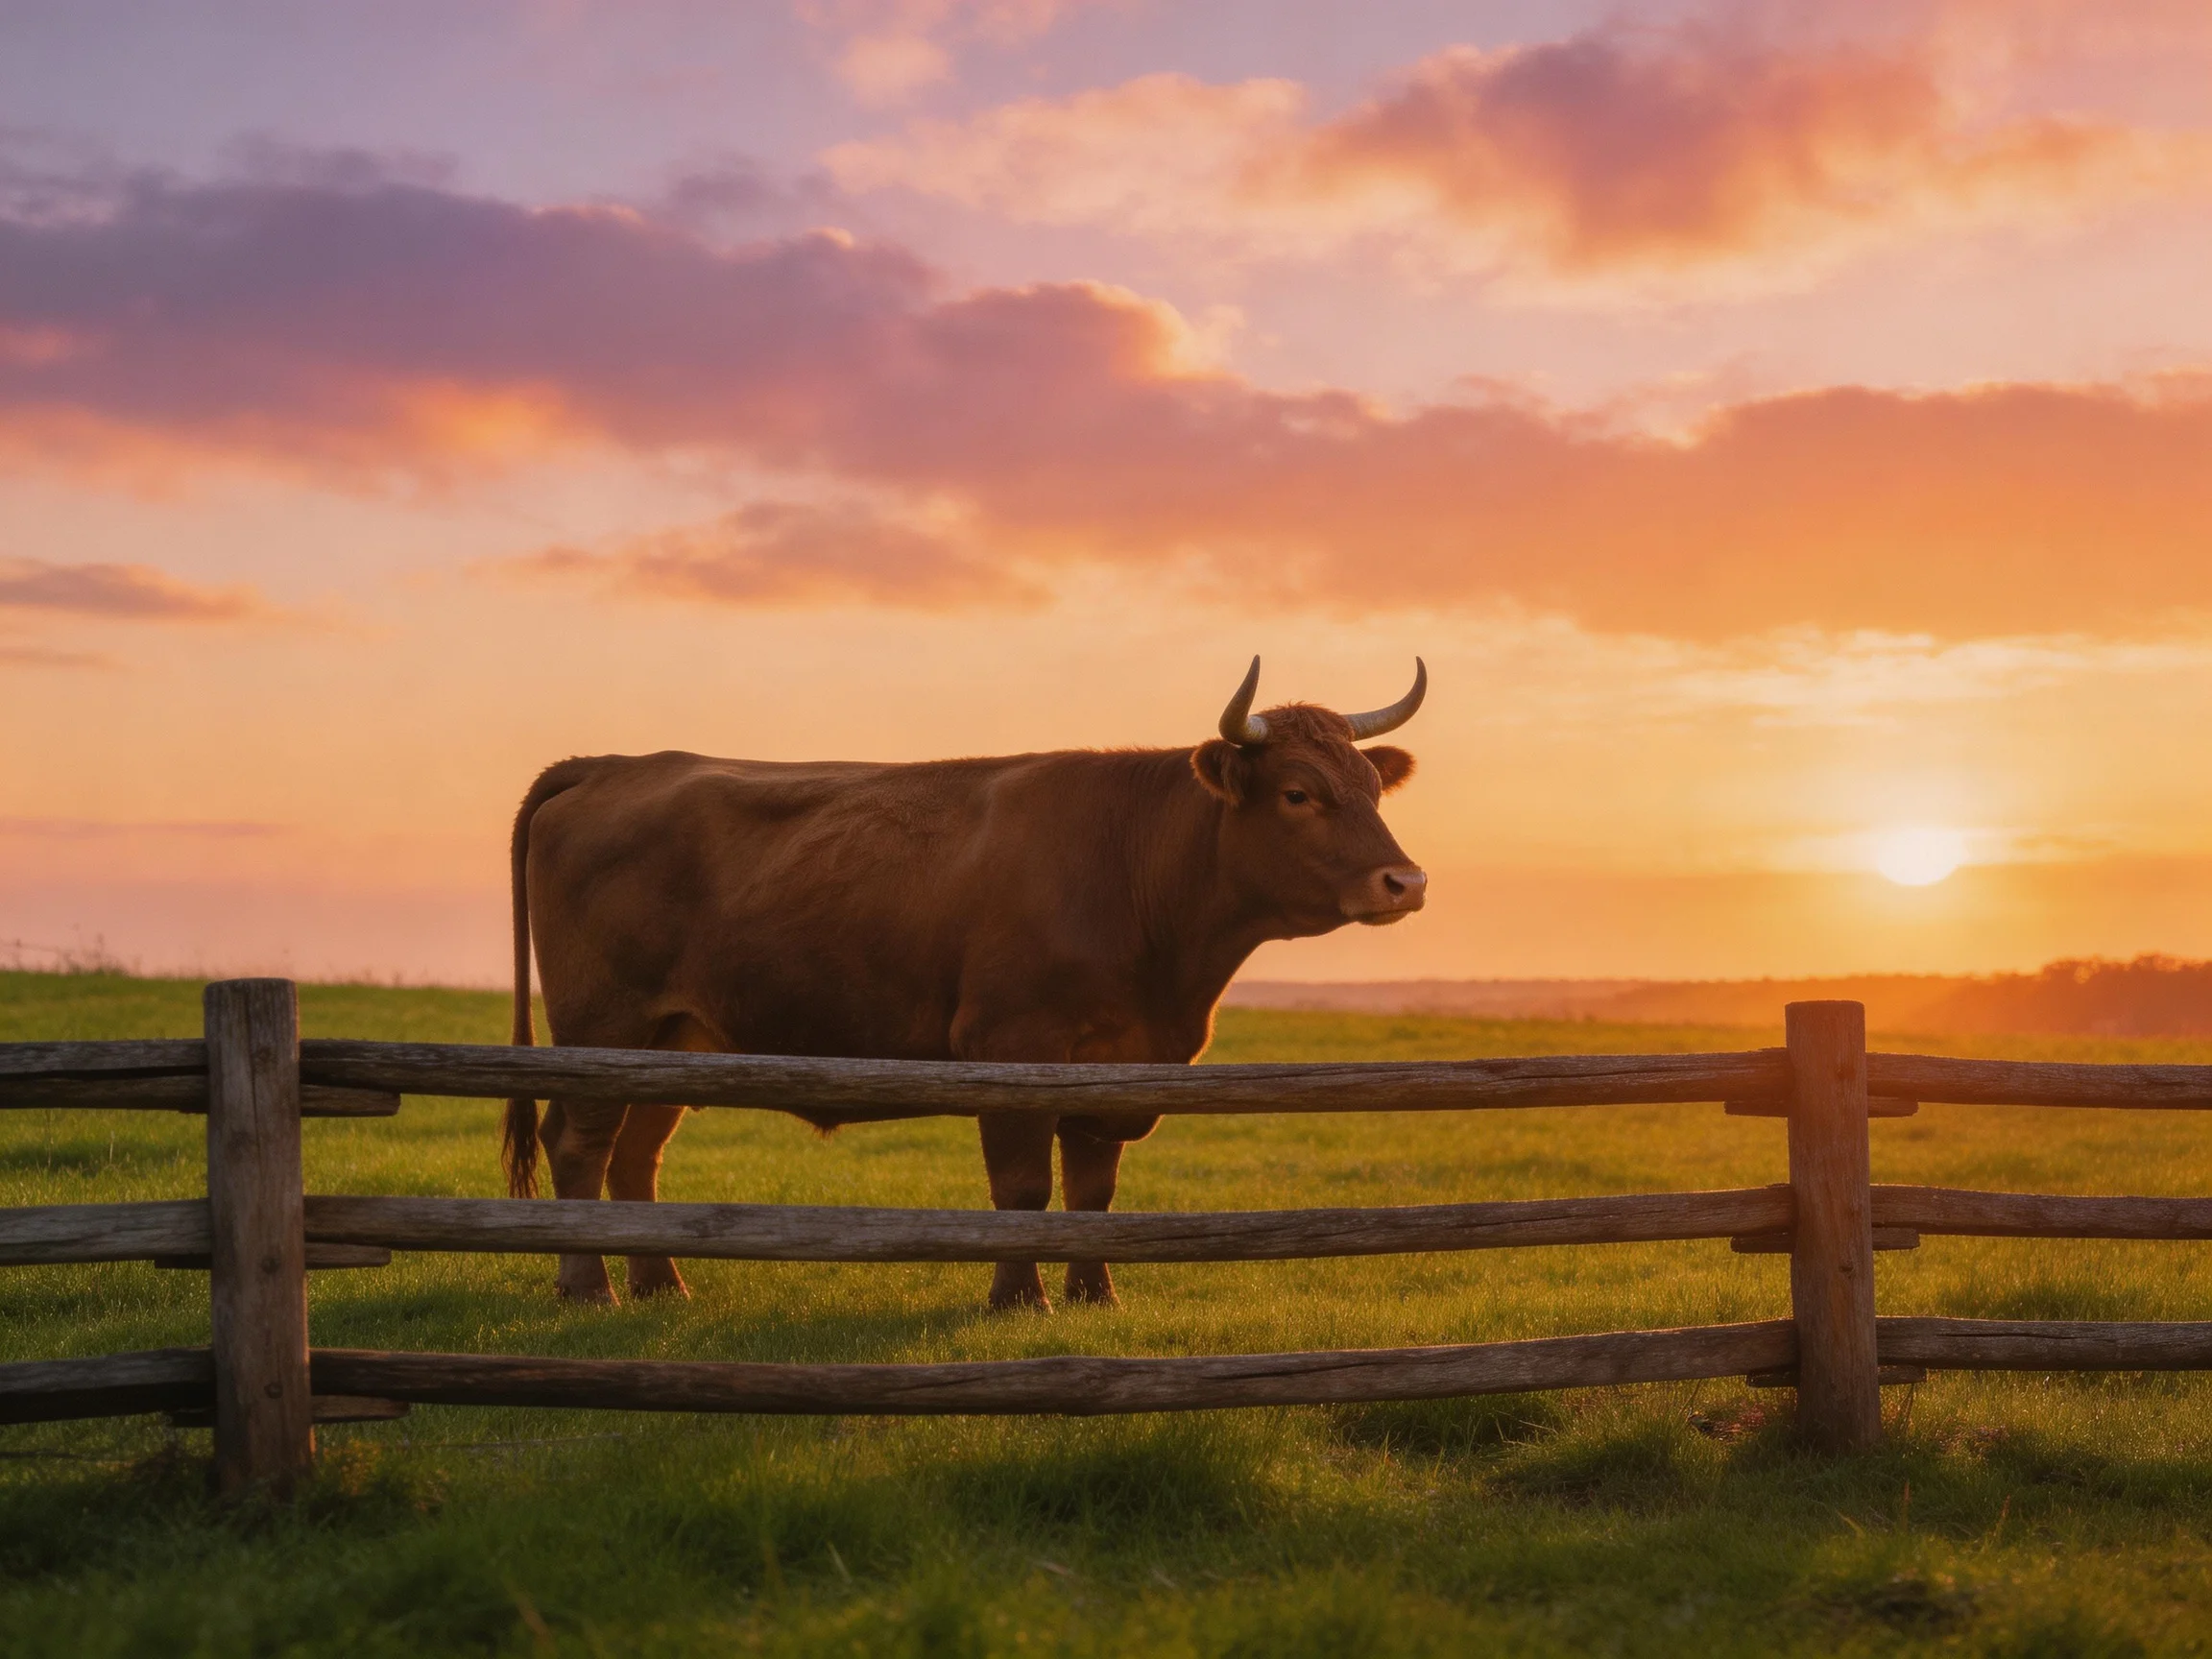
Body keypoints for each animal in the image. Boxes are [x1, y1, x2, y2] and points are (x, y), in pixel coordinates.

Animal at [501, 657, 1429, 1309]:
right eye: (1299, 793)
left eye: (1373, 788)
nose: (1406, 881)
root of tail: (613, 764)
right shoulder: (1013, 1046)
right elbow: (1021, 1187)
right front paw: (1020, 1300)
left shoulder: (1118, 1064)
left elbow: (1093, 1189)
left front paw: (1095, 1296)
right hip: (602, 1025)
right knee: (580, 1143)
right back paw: (589, 1287)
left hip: (676, 1037)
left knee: (635, 1152)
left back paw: (662, 1283)